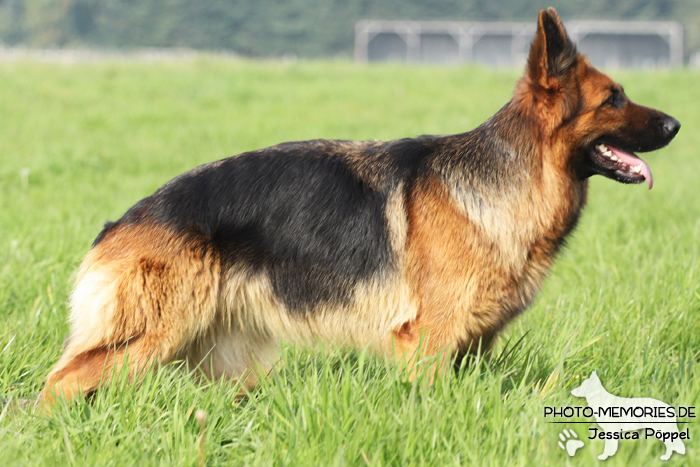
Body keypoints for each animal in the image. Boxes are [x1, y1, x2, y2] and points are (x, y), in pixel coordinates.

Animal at [38, 9, 680, 408]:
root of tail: (119, 222)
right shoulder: (428, 343)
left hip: (222, 360)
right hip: (151, 336)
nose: (677, 124)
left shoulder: (475, 345)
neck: (511, 176)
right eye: (614, 99)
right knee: (57, 386)